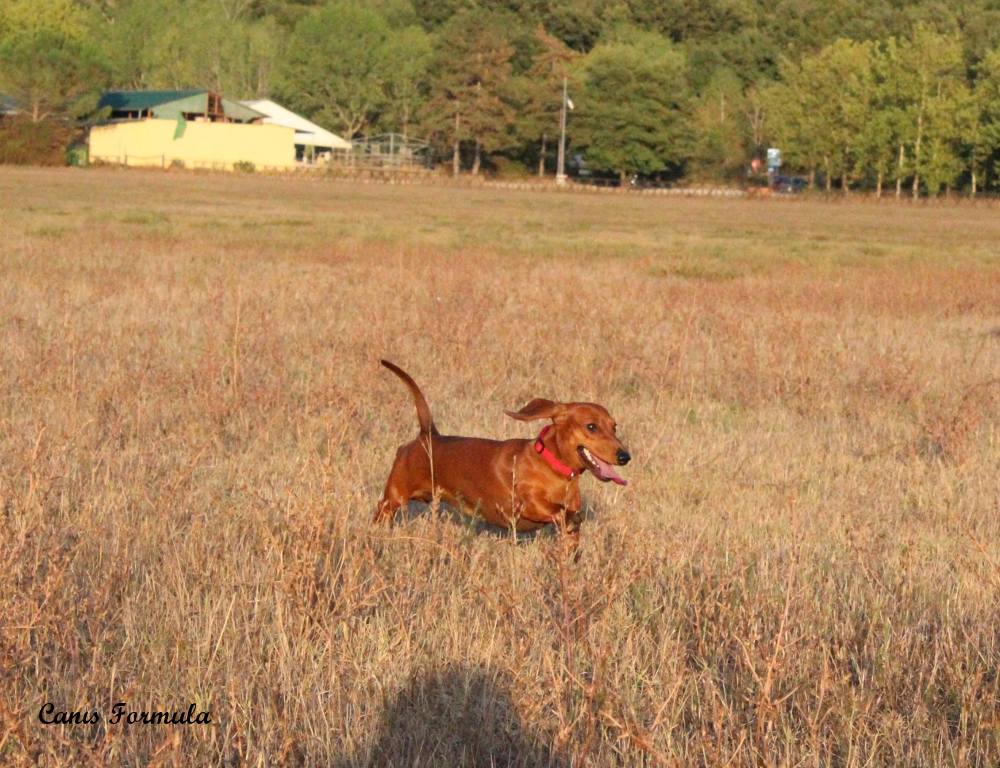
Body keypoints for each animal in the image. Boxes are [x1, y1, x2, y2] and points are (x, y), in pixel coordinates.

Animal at [378, 360, 628, 544]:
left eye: (614, 427)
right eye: (591, 427)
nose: (625, 456)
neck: (553, 467)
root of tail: (427, 435)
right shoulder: (526, 505)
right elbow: (558, 511)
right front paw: (569, 515)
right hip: (393, 499)